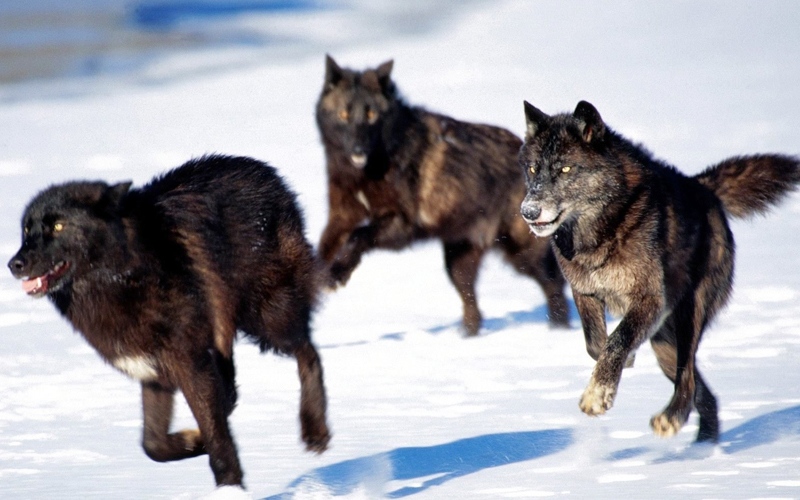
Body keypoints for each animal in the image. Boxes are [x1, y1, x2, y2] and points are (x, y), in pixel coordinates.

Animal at [7, 155, 332, 484]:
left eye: (58, 226)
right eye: (26, 230)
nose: (13, 264)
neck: (124, 274)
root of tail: (268, 173)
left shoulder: (190, 364)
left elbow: (217, 444)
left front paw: (230, 485)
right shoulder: (153, 373)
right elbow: (154, 445)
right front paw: (193, 440)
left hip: (268, 320)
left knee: (309, 353)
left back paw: (315, 431)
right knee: (233, 389)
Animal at [318, 55, 568, 336]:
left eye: (371, 115)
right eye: (344, 114)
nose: (358, 150)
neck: (368, 170)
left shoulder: (402, 224)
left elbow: (359, 235)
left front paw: (337, 275)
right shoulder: (341, 217)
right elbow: (323, 248)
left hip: (522, 254)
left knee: (554, 285)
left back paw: (559, 330)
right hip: (457, 261)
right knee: (473, 307)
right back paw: (467, 338)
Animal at [520, 98, 800, 442]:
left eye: (565, 169)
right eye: (533, 169)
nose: (528, 211)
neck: (601, 230)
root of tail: (703, 187)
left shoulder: (650, 300)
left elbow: (616, 339)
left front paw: (598, 395)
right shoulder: (584, 292)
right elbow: (596, 344)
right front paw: (618, 368)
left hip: (689, 316)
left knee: (688, 376)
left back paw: (672, 419)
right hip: (663, 344)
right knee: (704, 393)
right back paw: (704, 446)